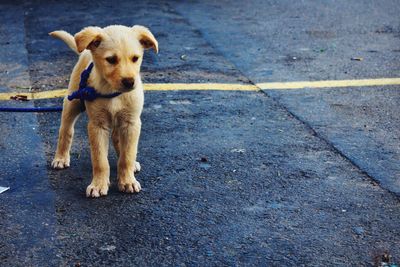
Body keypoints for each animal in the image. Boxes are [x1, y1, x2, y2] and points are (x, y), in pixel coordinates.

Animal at [48, 25, 158, 198]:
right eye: (111, 59)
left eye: (135, 58)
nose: (130, 82)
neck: (112, 92)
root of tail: (85, 52)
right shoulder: (97, 125)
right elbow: (100, 160)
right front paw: (99, 184)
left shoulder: (131, 122)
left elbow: (127, 155)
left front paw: (127, 181)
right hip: (72, 102)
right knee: (65, 131)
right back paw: (60, 158)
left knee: (117, 139)